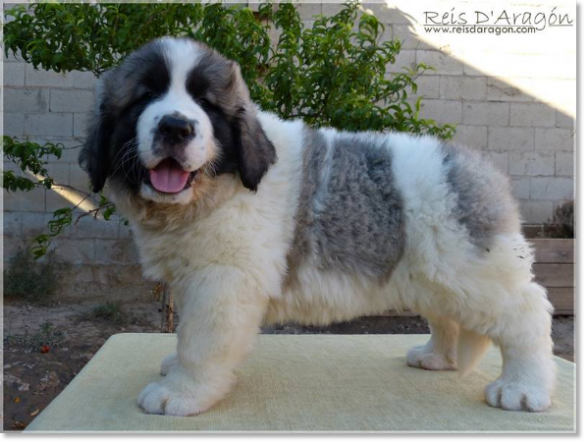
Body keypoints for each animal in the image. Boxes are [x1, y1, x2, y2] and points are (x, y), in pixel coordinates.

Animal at [80, 37, 560, 416]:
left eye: (207, 105)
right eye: (144, 97)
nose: (176, 127)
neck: (214, 191)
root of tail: (477, 167)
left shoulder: (222, 281)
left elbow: (201, 340)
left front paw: (179, 392)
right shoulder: (191, 276)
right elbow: (186, 333)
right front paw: (174, 369)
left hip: (472, 269)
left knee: (526, 313)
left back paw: (523, 388)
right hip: (439, 274)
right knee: (448, 317)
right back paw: (437, 357)